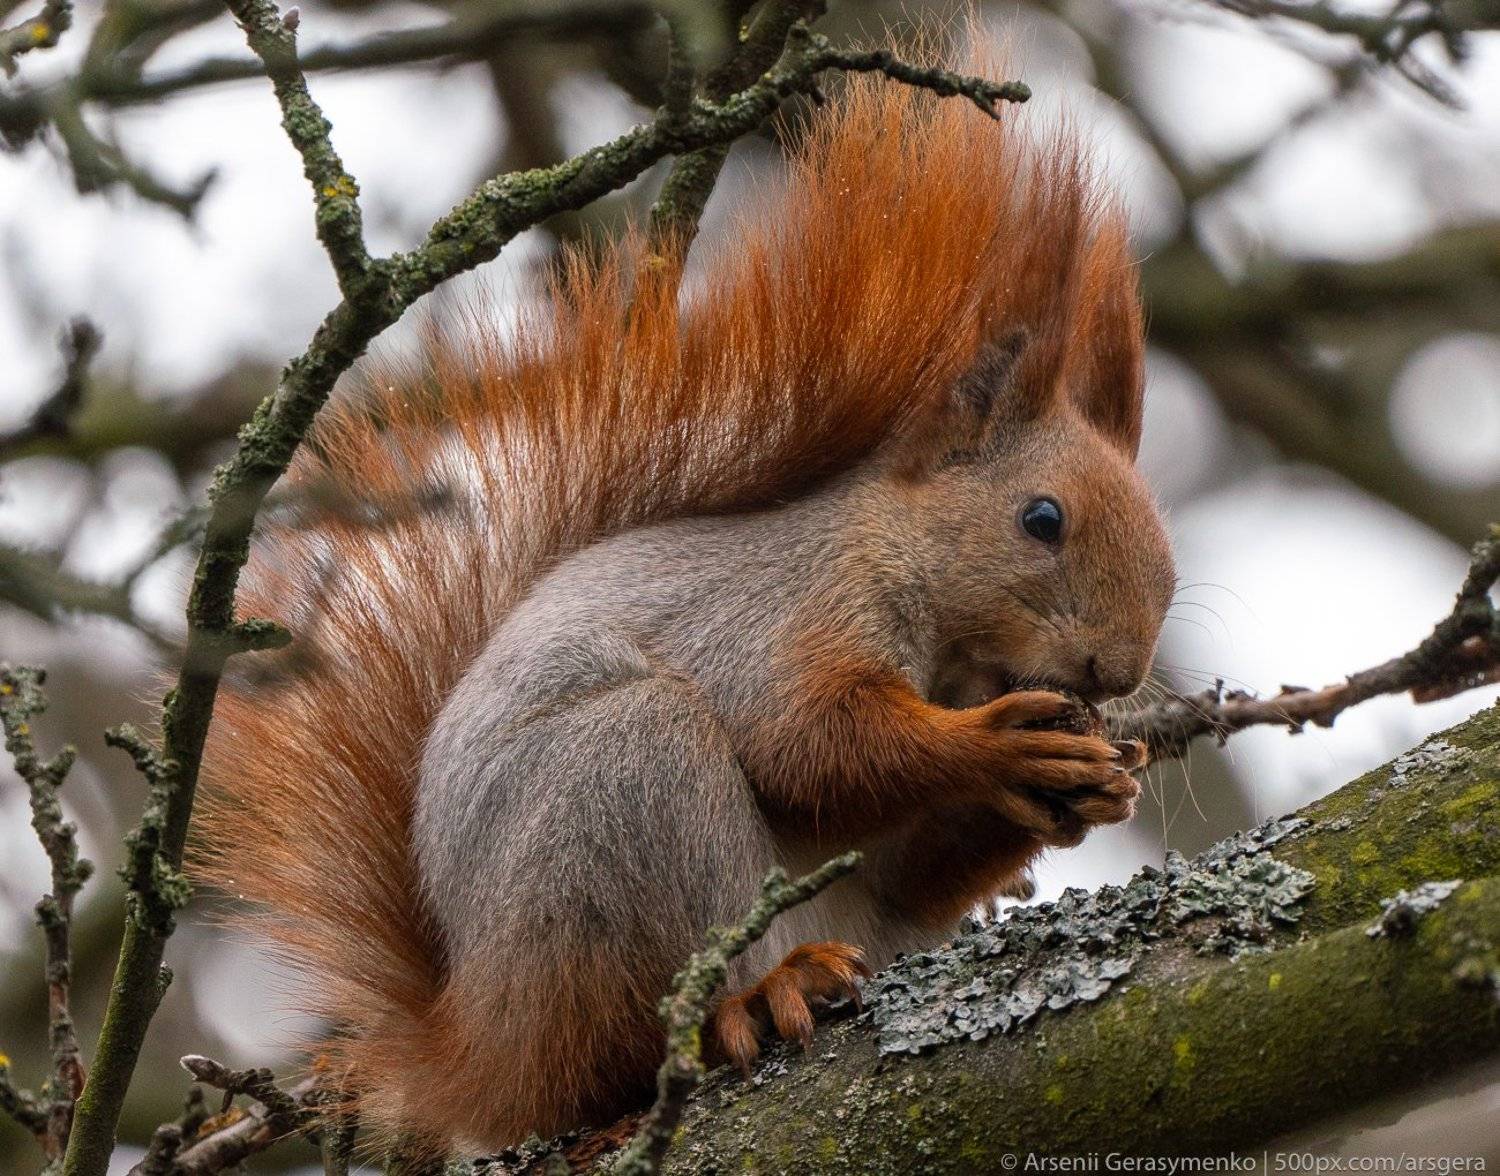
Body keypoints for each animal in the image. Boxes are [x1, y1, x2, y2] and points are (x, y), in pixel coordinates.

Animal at [196, 57, 1175, 1152]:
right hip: (619, 789)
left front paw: (1100, 779)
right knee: (620, 1037)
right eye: (1042, 518)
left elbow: (915, 860)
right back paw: (753, 999)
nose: (1120, 671)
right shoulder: (787, 611)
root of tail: (478, 1051)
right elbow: (806, 740)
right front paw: (997, 748)